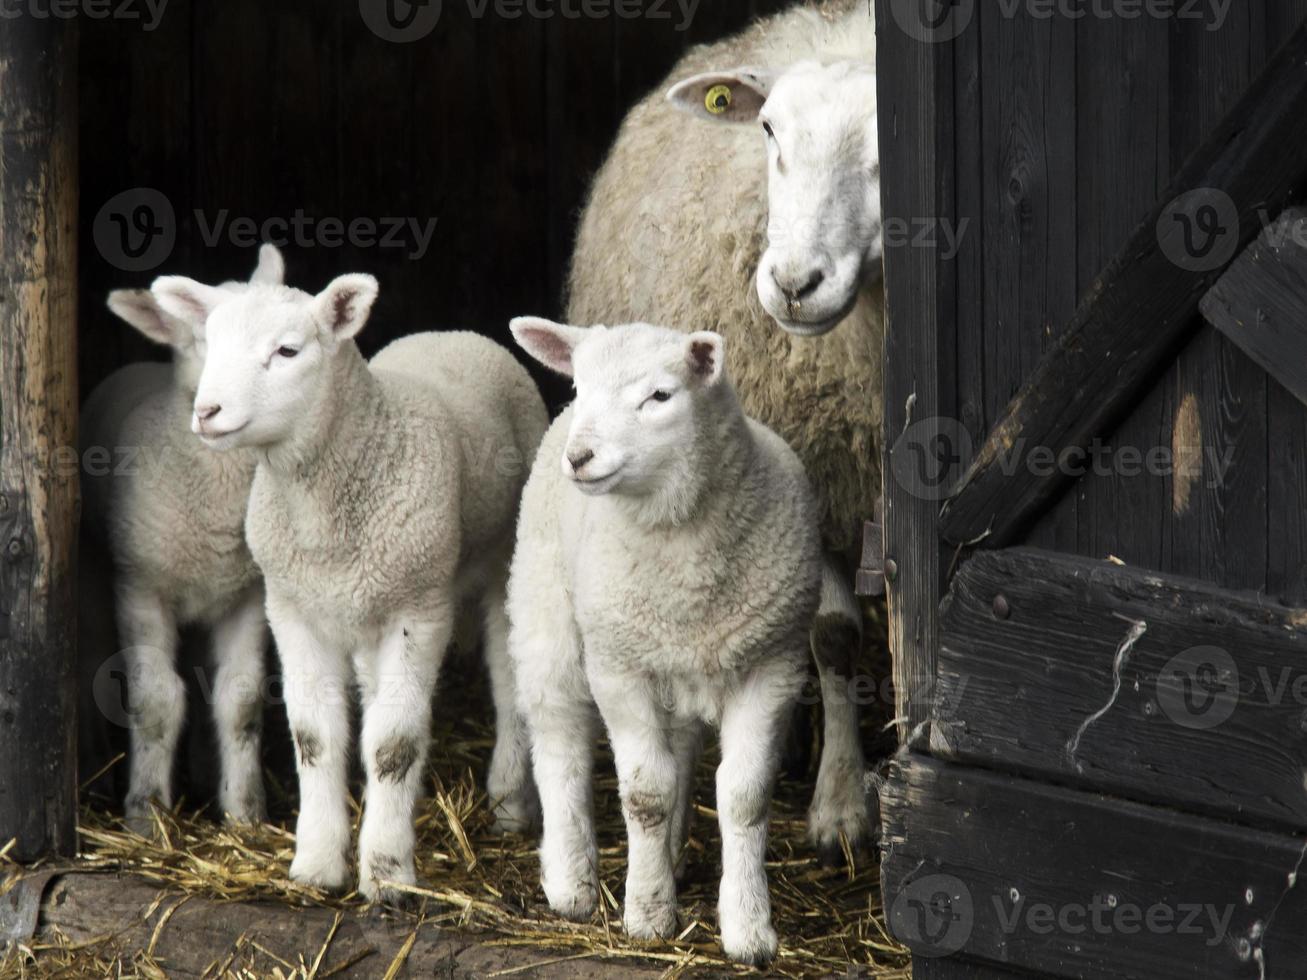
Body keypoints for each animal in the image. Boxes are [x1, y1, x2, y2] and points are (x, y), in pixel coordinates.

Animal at [82, 245, 287, 836]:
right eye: (205, 335)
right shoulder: (141, 588)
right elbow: (156, 701)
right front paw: (145, 814)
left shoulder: (246, 595)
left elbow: (238, 700)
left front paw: (245, 814)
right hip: (94, 575)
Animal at [150, 269, 548, 904]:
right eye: (209, 343)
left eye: (288, 351)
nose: (207, 411)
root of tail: (452, 332)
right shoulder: (293, 608)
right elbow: (314, 736)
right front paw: (316, 864)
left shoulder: (420, 610)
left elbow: (394, 744)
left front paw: (387, 873)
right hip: (361, 605)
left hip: (502, 558)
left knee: (509, 680)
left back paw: (510, 803)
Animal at [507, 316, 820, 966]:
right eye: (581, 385)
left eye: (659, 396)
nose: (581, 457)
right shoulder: (619, 667)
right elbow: (645, 793)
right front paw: (648, 915)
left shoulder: (774, 664)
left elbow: (744, 796)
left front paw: (748, 928)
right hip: (547, 610)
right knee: (560, 741)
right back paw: (571, 880)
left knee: (678, 752)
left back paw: (669, 857)